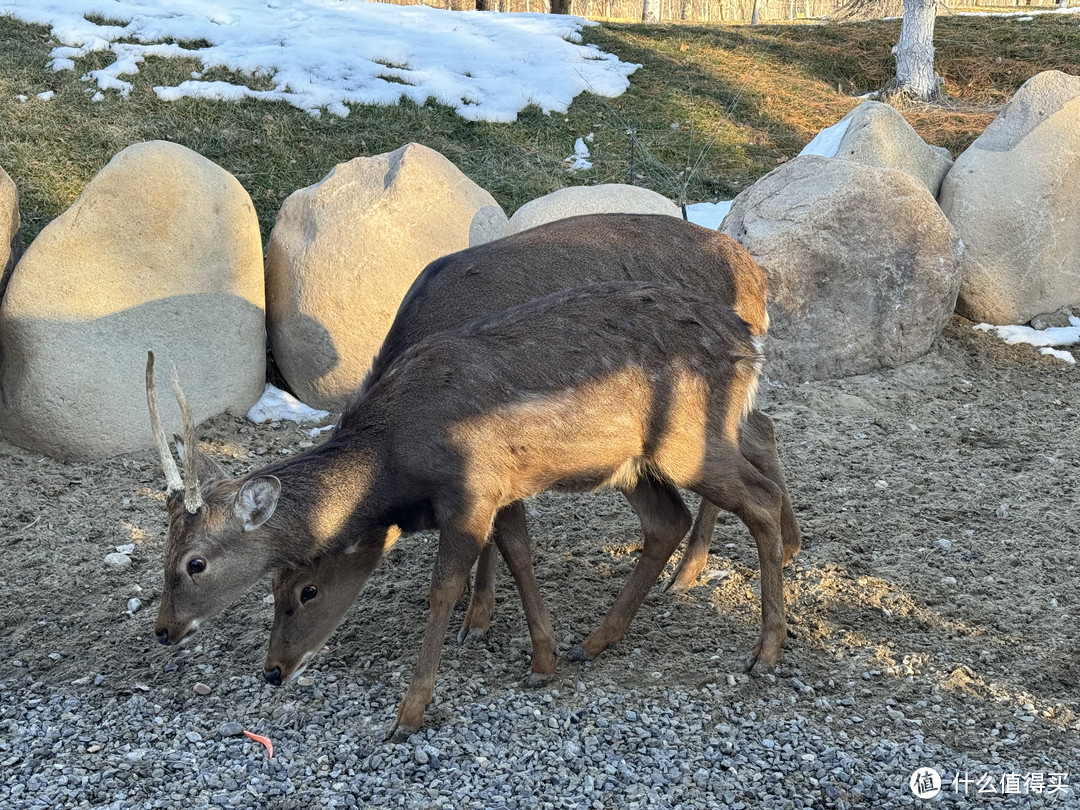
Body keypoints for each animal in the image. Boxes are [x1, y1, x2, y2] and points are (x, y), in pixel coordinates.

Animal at [152, 282, 790, 747]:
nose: (272, 671)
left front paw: (407, 713)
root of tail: (751, 344)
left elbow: (444, 589)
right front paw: (543, 659)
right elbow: (519, 553)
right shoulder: (501, 491)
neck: (395, 460)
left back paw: (766, 652)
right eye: (274, 586)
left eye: (194, 563)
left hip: (688, 441)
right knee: (667, 521)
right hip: (631, 463)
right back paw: (594, 641)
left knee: (757, 497)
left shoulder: (471, 492)